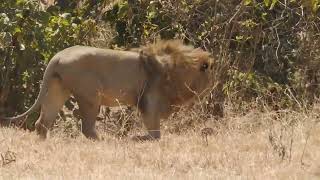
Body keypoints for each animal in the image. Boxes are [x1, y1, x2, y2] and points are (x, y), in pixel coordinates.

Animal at [2, 40, 214, 140]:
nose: (213, 85)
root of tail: (58, 56)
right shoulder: (149, 99)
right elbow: (156, 133)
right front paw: (137, 138)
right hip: (90, 95)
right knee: (87, 128)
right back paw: (105, 140)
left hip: (58, 89)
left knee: (42, 123)